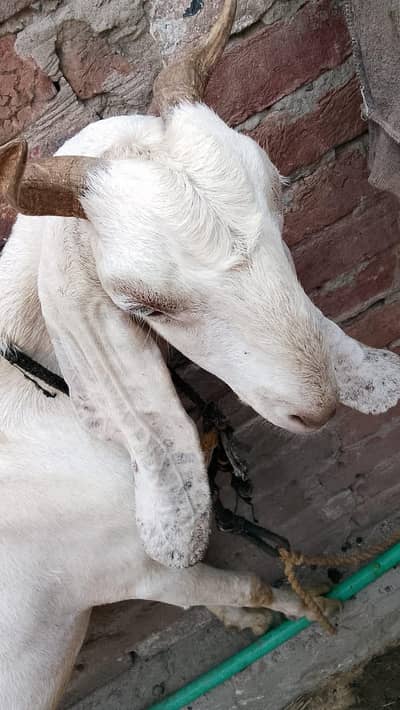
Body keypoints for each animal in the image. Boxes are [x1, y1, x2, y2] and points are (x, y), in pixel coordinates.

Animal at [1, 0, 400, 706]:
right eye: (142, 305)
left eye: (280, 192)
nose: (318, 408)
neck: (39, 402)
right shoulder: (137, 571)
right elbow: (246, 581)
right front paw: (303, 609)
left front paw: (246, 621)